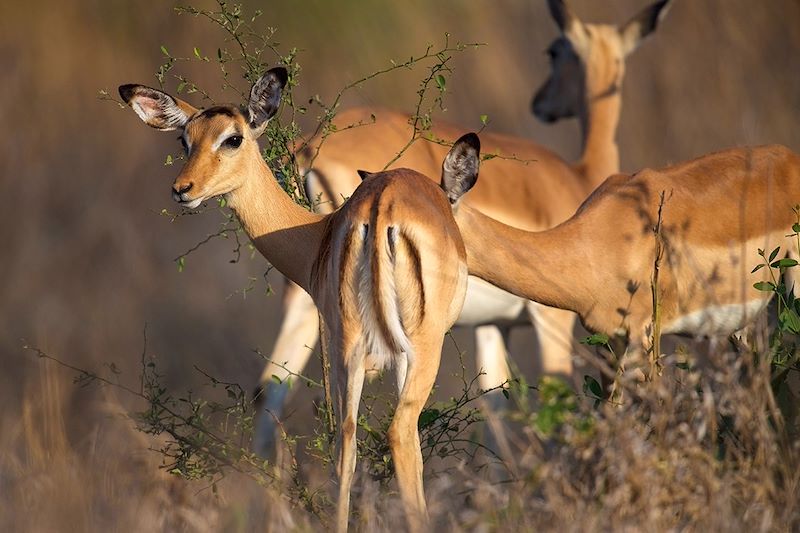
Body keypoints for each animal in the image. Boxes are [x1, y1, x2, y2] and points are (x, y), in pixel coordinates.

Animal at [119, 68, 482, 532]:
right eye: (186, 140)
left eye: (231, 138)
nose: (182, 188)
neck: (315, 236)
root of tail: (381, 208)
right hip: (417, 348)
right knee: (398, 435)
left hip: (350, 347)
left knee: (344, 446)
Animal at [253, 0, 672, 458]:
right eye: (553, 50)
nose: (541, 104)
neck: (578, 178)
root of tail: (311, 149)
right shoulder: (552, 320)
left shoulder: (493, 326)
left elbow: (494, 408)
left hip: (310, 295)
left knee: (270, 389)